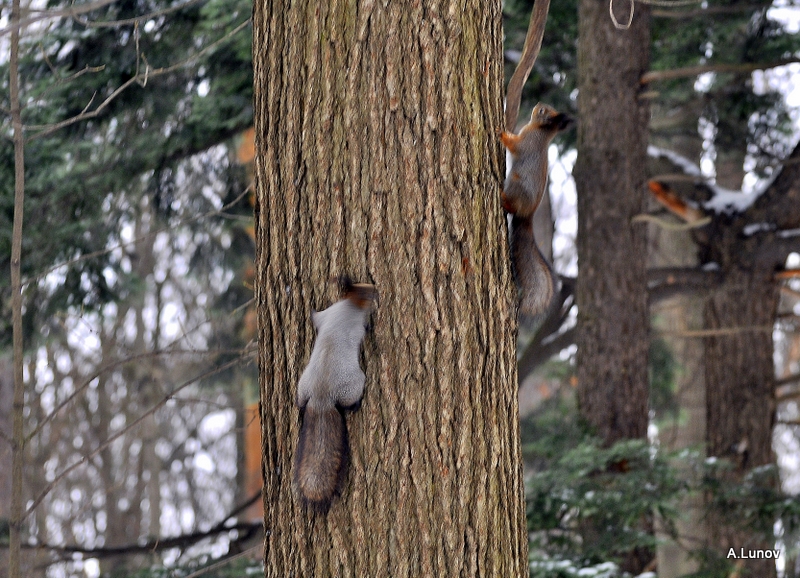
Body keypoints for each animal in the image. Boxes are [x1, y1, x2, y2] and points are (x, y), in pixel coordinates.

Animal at [294, 276, 378, 506]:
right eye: (367, 291)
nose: (376, 290)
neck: (349, 305)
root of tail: (321, 397)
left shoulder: (327, 314)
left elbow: (316, 316)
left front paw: (311, 309)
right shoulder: (355, 324)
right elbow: (364, 329)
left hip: (302, 386)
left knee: (300, 403)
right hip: (354, 384)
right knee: (349, 402)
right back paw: (355, 405)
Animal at [496, 102, 572, 322]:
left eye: (542, 111)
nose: (538, 105)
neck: (541, 132)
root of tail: (526, 215)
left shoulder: (525, 142)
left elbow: (514, 145)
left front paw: (502, 133)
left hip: (515, 186)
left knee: (510, 205)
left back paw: (503, 198)